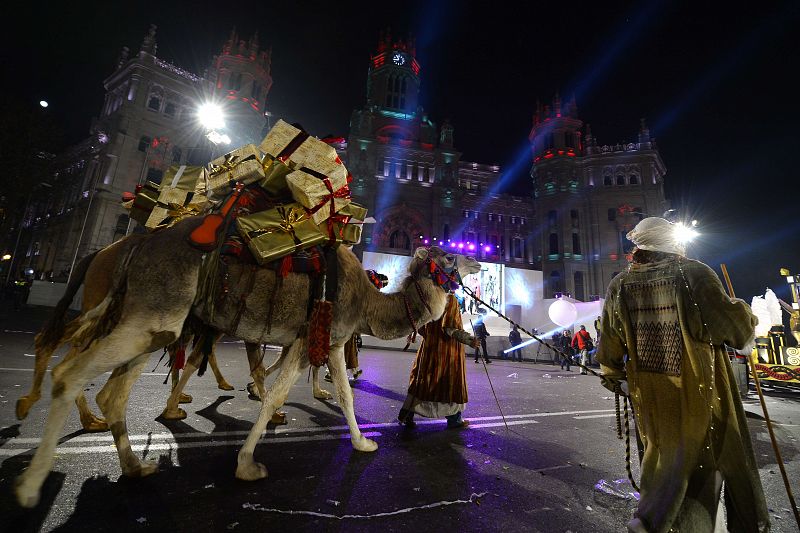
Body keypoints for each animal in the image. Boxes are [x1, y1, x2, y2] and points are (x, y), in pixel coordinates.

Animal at [15, 217, 472, 508]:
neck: (368, 301)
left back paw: (134, 465)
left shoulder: (331, 341)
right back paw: (30, 483)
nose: (474, 260)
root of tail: (135, 246)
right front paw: (248, 464)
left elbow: (342, 394)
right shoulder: (312, 338)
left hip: (153, 321)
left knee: (111, 391)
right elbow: (280, 396)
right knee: (70, 370)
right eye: (449, 257)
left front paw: (362, 443)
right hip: (149, 311)